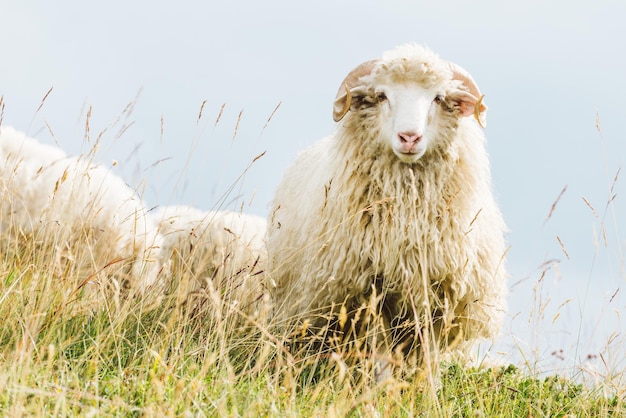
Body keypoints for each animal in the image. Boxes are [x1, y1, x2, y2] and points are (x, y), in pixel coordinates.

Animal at [266, 43, 504, 378]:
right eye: (381, 96)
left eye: (438, 98)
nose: (409, 137)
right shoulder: (370, 296)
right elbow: (381, 356)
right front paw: (382, 387)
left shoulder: (437, 298)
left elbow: (428, 360)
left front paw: (428, 389)